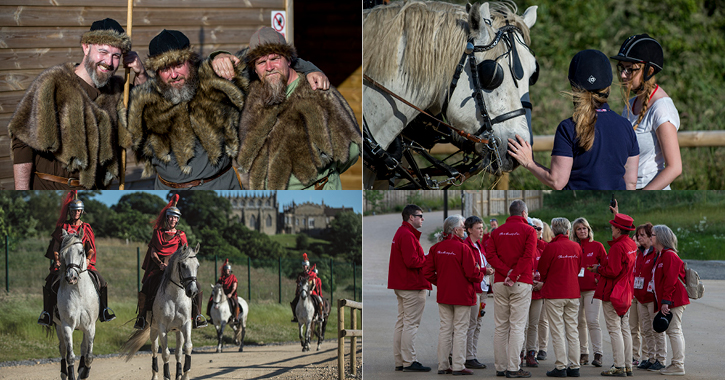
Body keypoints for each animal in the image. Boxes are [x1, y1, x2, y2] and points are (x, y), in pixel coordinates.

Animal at [54, 229, 97, 380]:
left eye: (80, 252)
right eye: (63, 253)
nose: (71, 277)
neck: (78, 292)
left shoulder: (90, 326)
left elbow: (89, 356)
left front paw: (84, 373)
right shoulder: (66, 325)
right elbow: (70, 356)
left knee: (83, 348)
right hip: (58, 326)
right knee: (62, 349)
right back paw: (63, 373)